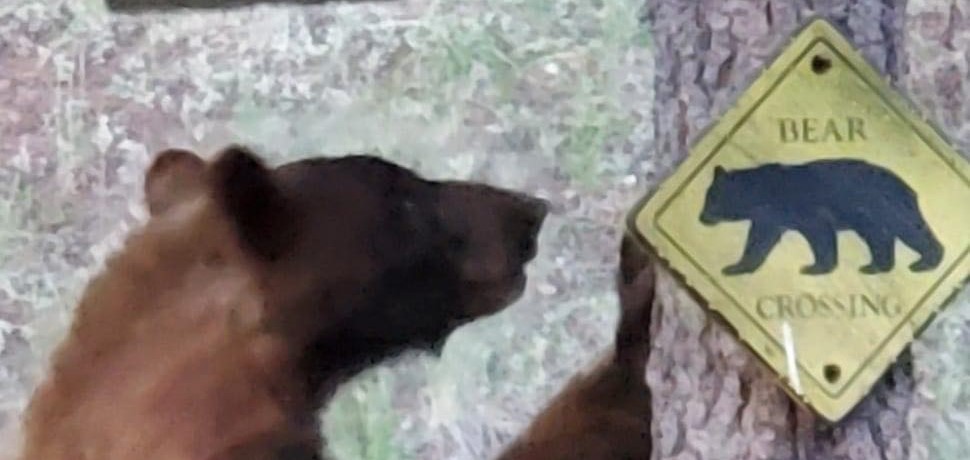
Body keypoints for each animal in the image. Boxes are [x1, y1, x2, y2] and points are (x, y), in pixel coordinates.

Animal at [699, 159, 944, 276]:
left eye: (710, 199)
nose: (701, 217)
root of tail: (908, 188)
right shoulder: (770, 217)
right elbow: (759, 241)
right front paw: (735, 267)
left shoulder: (802, 208)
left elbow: (819, 233)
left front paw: (813, 267)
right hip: (872, 218)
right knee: (880, 239)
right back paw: (874, 267)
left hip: (886, 207)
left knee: (911, 230)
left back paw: (925, 262)